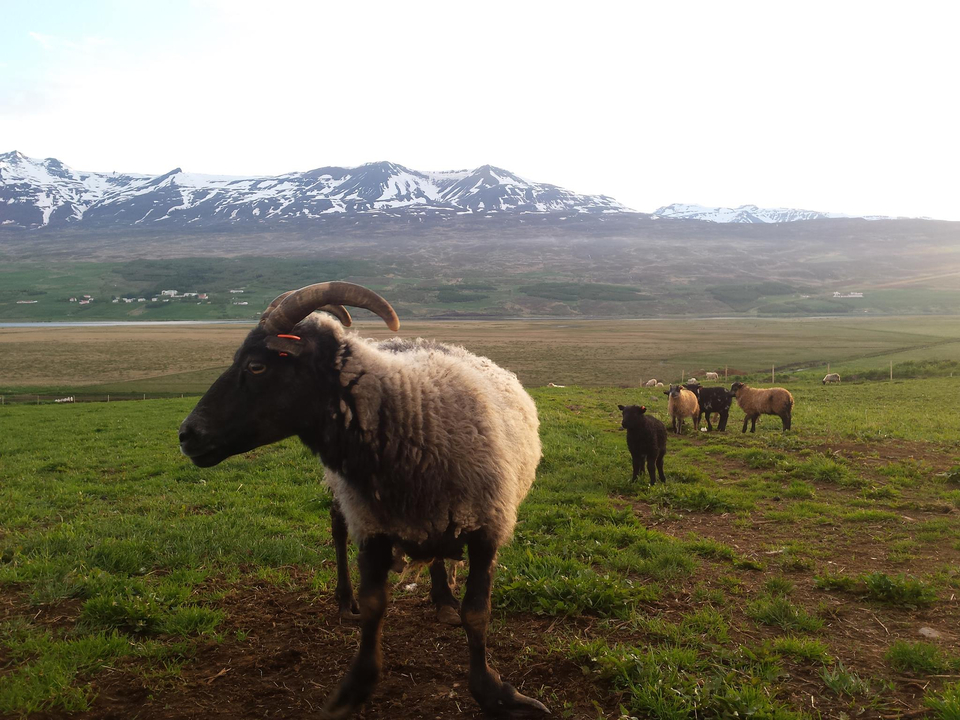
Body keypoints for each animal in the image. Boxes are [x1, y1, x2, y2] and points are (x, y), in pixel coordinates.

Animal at [178, 281, 547, 719]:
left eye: (256, 366)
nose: (187, 435)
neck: (411, 410)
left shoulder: (485, 526)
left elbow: (476, 614)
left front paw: (492, 692)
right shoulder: (372, 526)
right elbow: (374, 607)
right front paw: (354, 687)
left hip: (441, 512)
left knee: (437, 556)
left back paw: (442, 599)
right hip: (346, 498)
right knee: (337, 532)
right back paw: (345, 601)